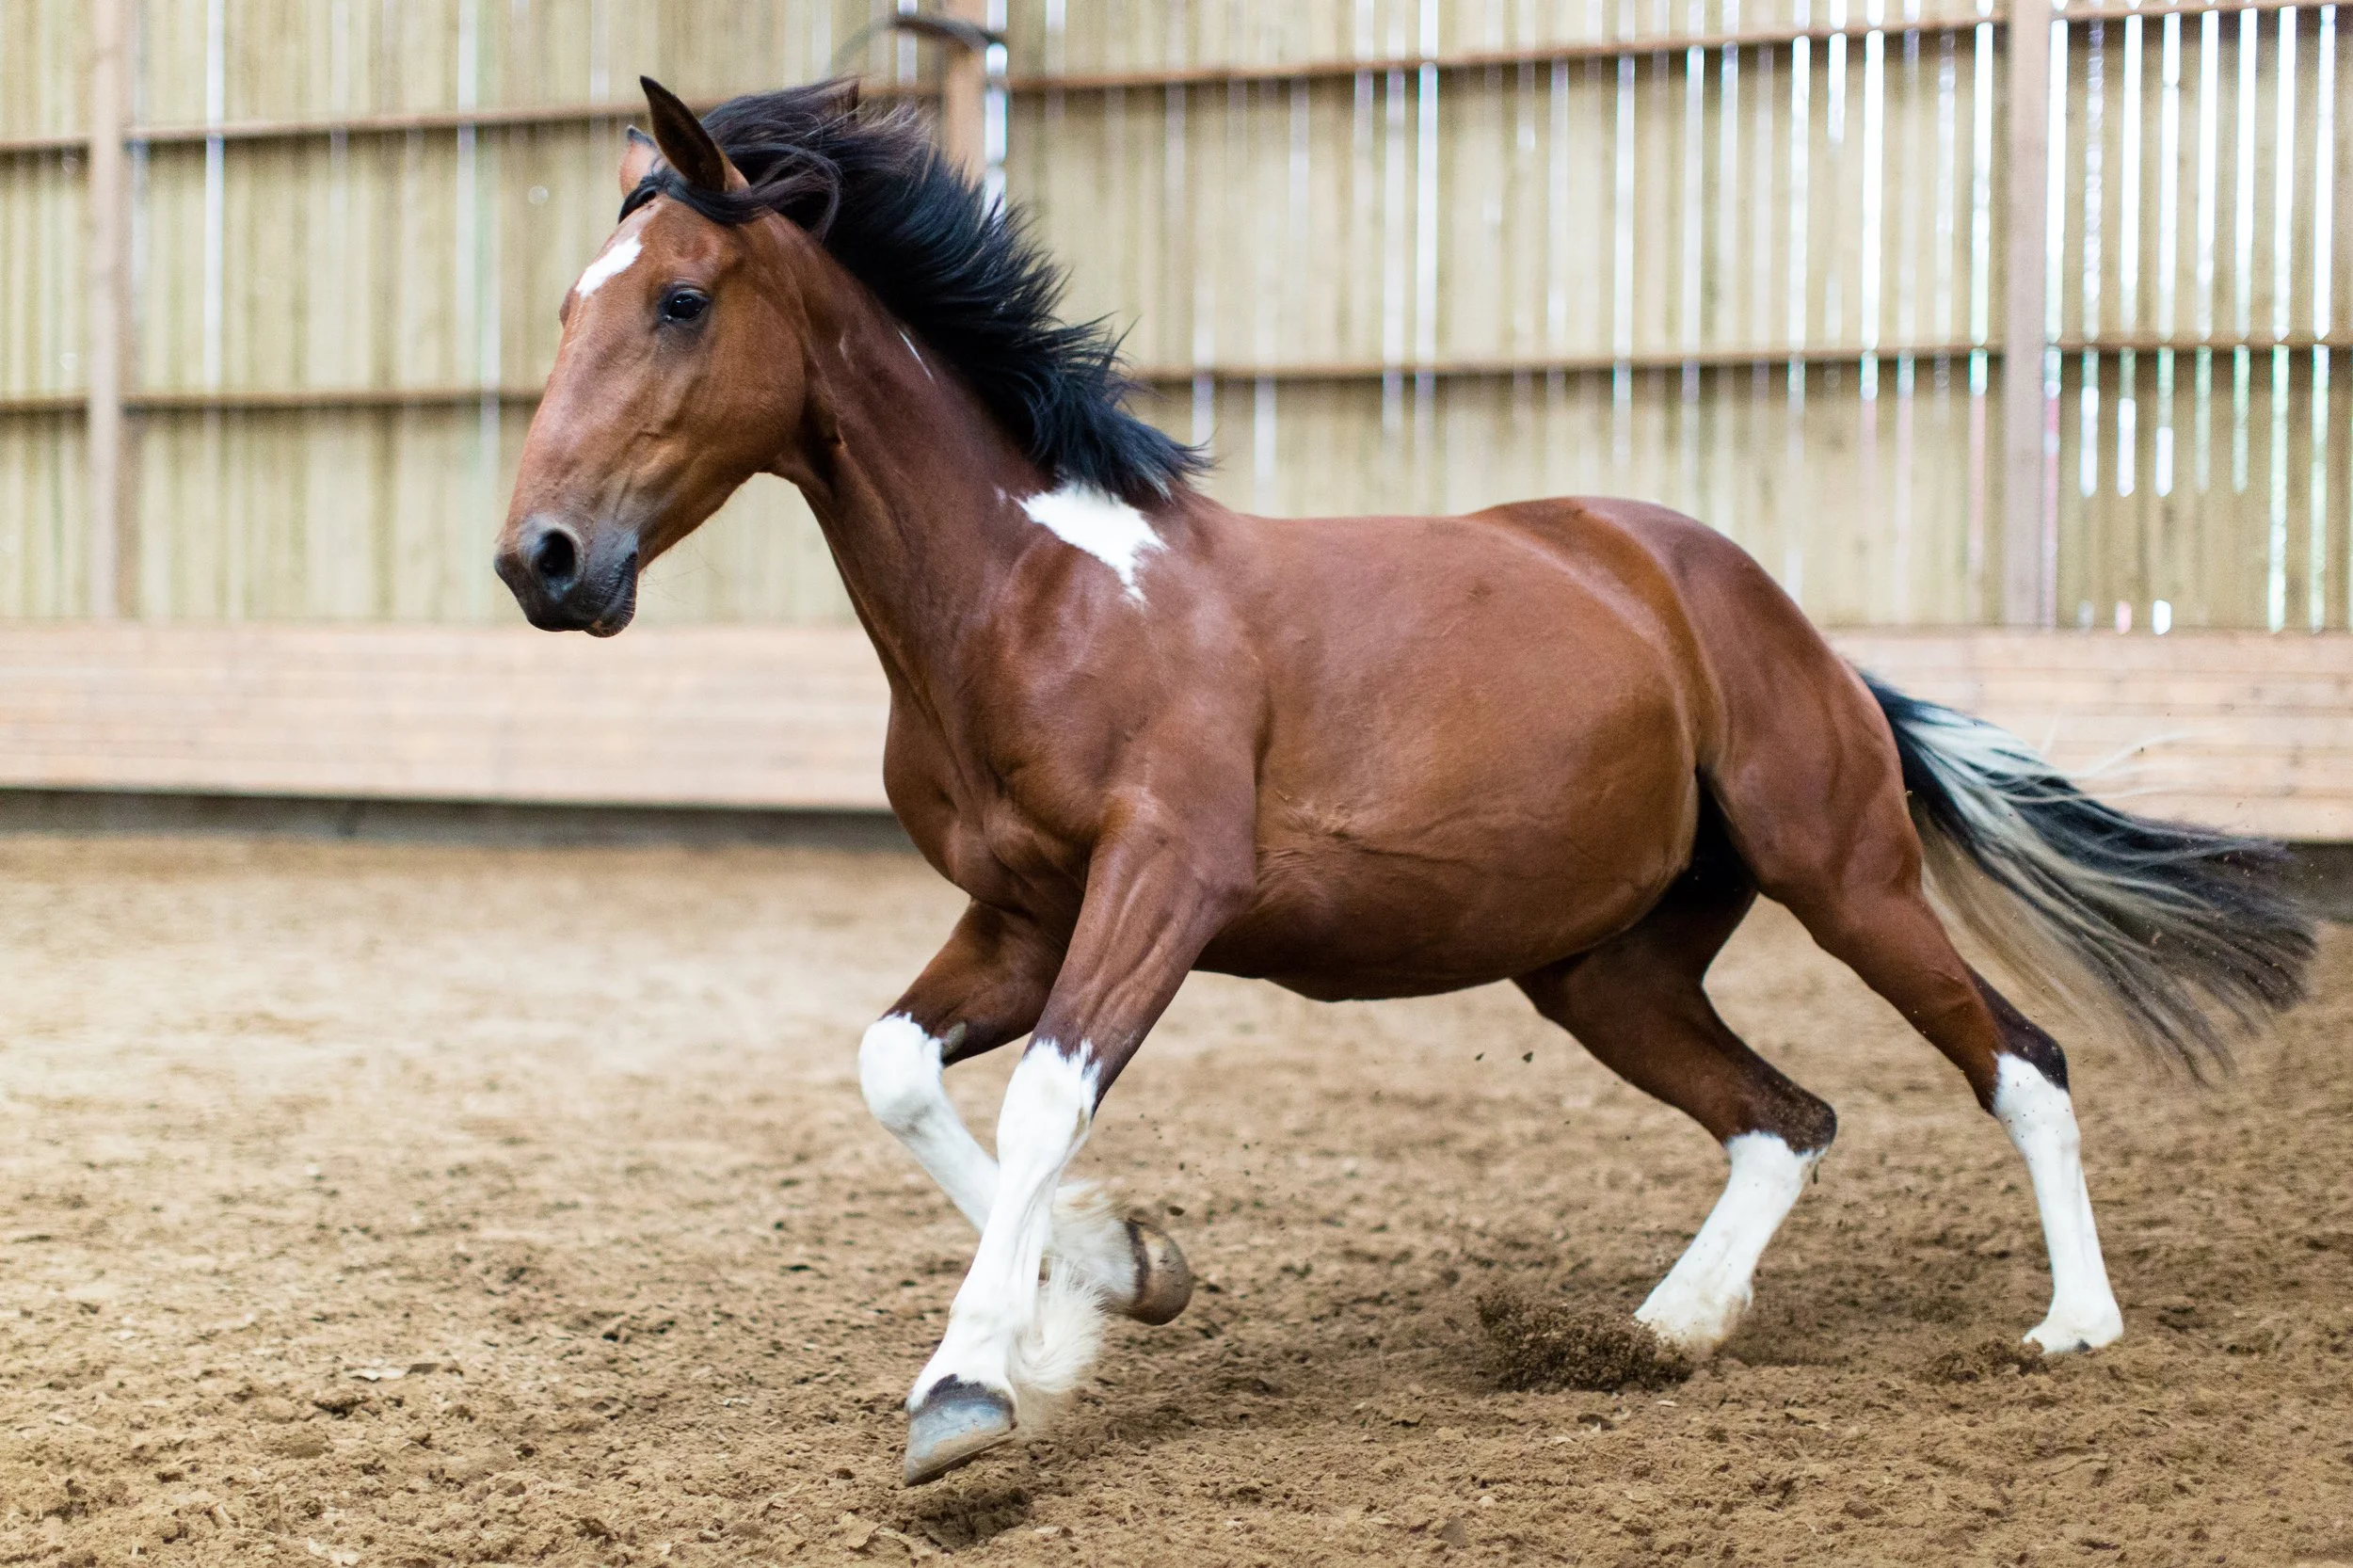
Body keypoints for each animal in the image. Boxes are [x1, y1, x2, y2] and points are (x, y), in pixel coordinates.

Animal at [494, 77, 2314, 1487]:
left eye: (678, 301)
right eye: (567, 305)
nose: (542, 559)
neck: (1041, 593)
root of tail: (1767, 616)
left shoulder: (1164, 883)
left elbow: (1043, 1099)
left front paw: (974, 1383)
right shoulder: (1019, 917)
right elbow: (898, 1072)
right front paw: (1120, 1276)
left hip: (1844, 875)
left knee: (2022, 1061)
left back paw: (2073, 1324)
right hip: (1602, 968)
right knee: (1786, 1117)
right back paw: (1668, 1328)